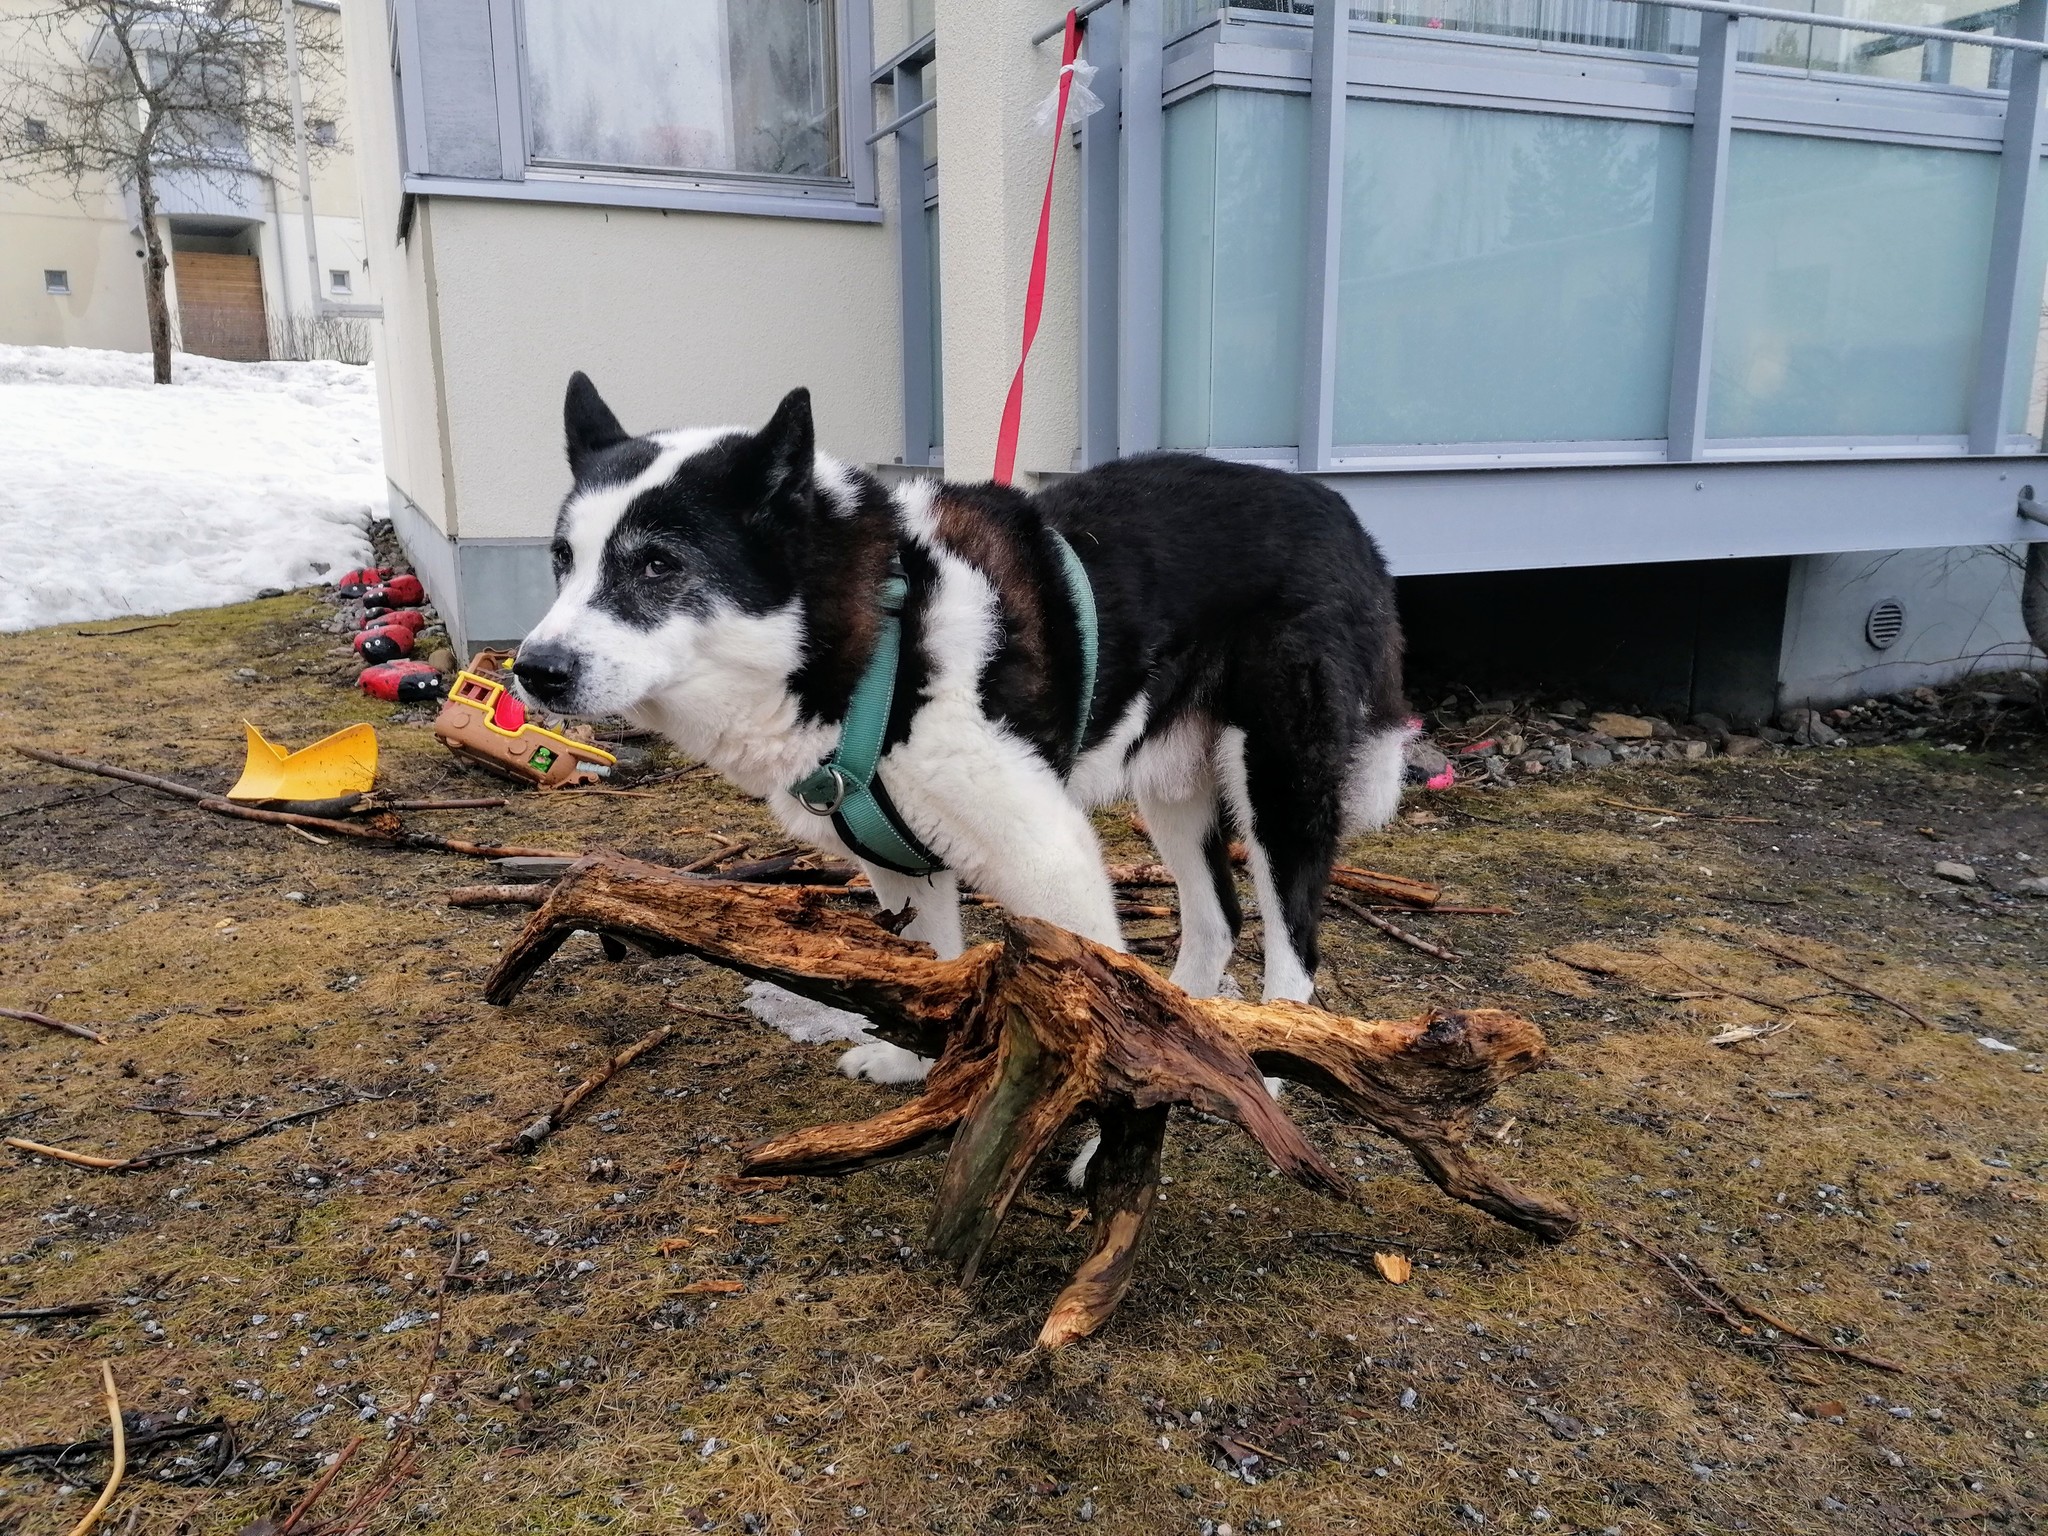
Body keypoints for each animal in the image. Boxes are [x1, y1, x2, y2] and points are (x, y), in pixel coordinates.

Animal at [516, 376, 1409, 1081]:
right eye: (561, 559)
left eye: (657, 564)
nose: (533, 670)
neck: (879, 637)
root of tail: (1340, 512)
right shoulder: (900, 862)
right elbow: (929, 968)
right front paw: (918, 1065)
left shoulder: (1050, 858)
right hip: (1174, 783)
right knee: (1218, 918)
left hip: (1279, 783)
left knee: (1293, 944)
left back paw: (1267, 1073)